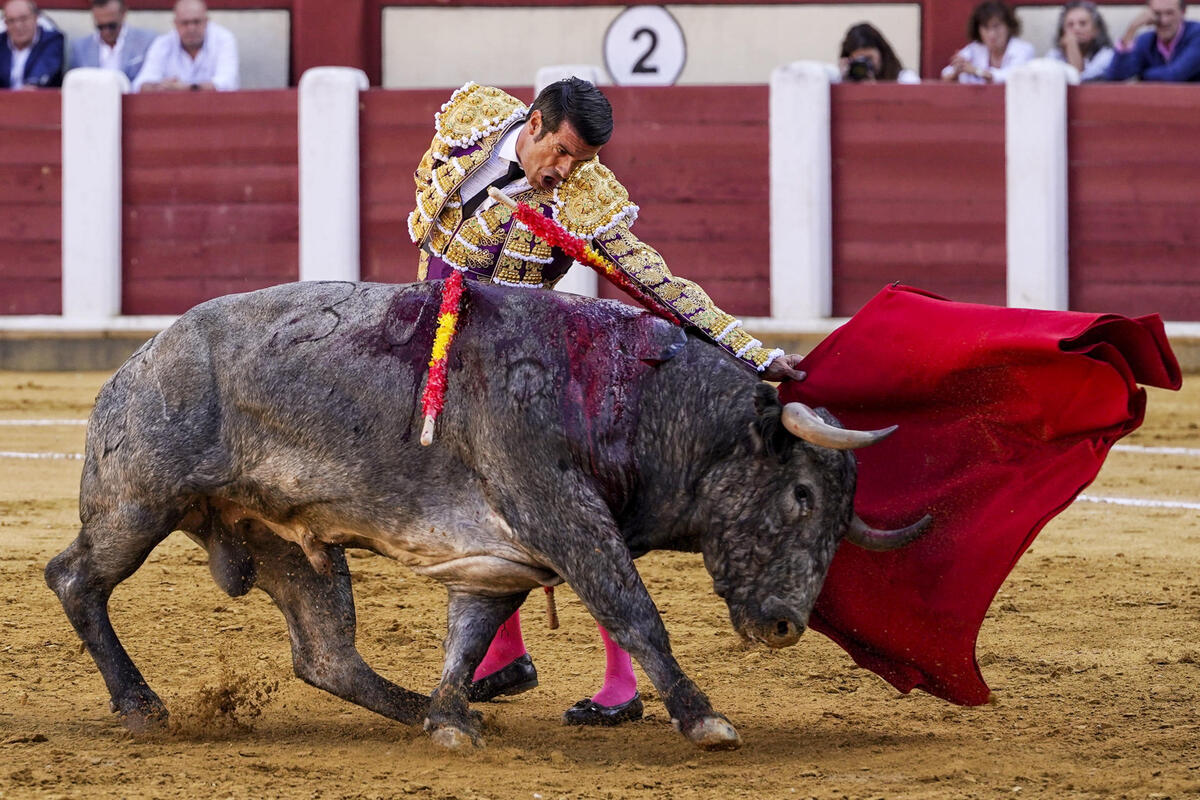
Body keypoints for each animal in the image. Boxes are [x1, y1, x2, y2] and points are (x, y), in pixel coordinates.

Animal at [44, 280, 926, 753]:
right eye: (802, 496)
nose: (785, 626)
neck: (632, 400)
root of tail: (139, 360)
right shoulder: (565, 520)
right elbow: (635, 611)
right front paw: (704, 717)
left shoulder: (503, 559)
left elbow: (467, 637)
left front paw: (447, 717)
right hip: (137, 504)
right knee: (75, 578)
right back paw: (140, 705)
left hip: (287, 545)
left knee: (325, 654)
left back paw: (411, 709)